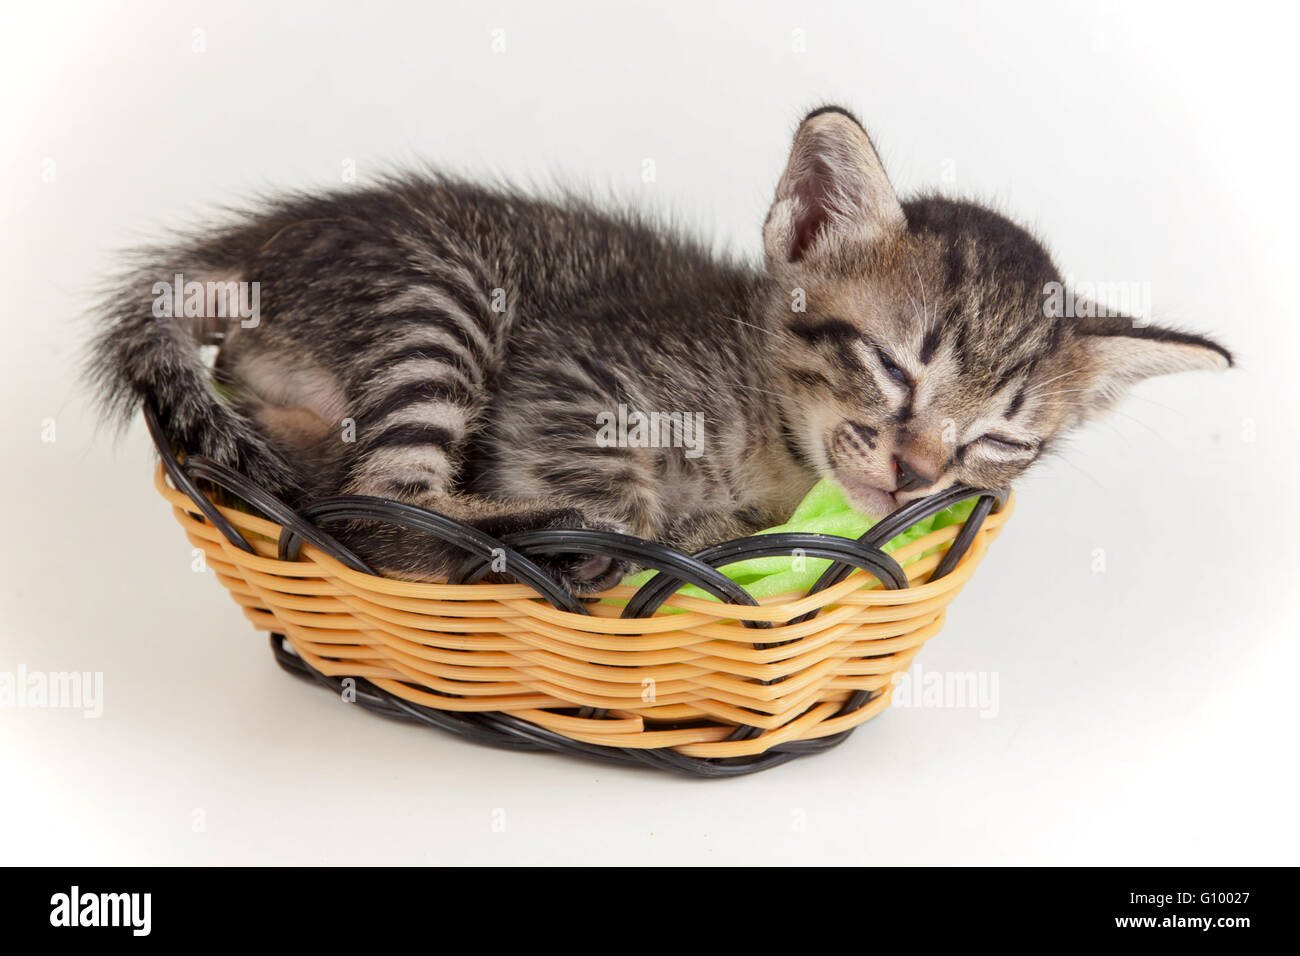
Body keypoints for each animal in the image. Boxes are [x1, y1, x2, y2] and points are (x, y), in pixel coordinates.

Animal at [89, 108, 1227, 595]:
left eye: (996, 440)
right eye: (894, 366)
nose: (915, 474)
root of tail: (254, 246)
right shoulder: (570, 378)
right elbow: (631, 505)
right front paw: (646, 533)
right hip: (437, 296)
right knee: (387, 504)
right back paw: (541, 534)